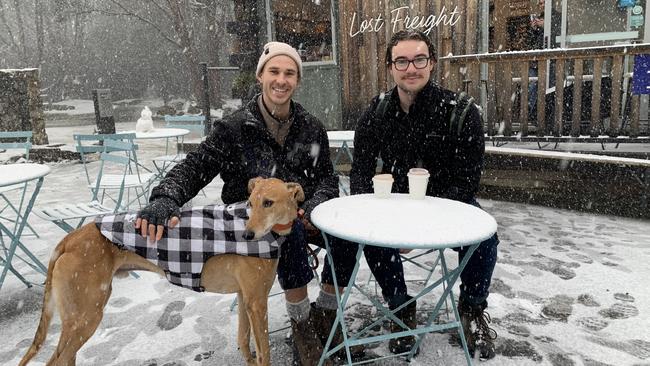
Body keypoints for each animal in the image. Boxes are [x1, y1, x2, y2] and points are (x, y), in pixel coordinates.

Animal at [19, 176, 304, 364]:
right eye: (251, 203)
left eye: (268, 202)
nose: (247, 236)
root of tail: (71, 238)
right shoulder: (257, 301)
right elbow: (264, 351)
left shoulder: (246, 298)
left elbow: (244, 341)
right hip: (86, 316)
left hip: (80, 319)